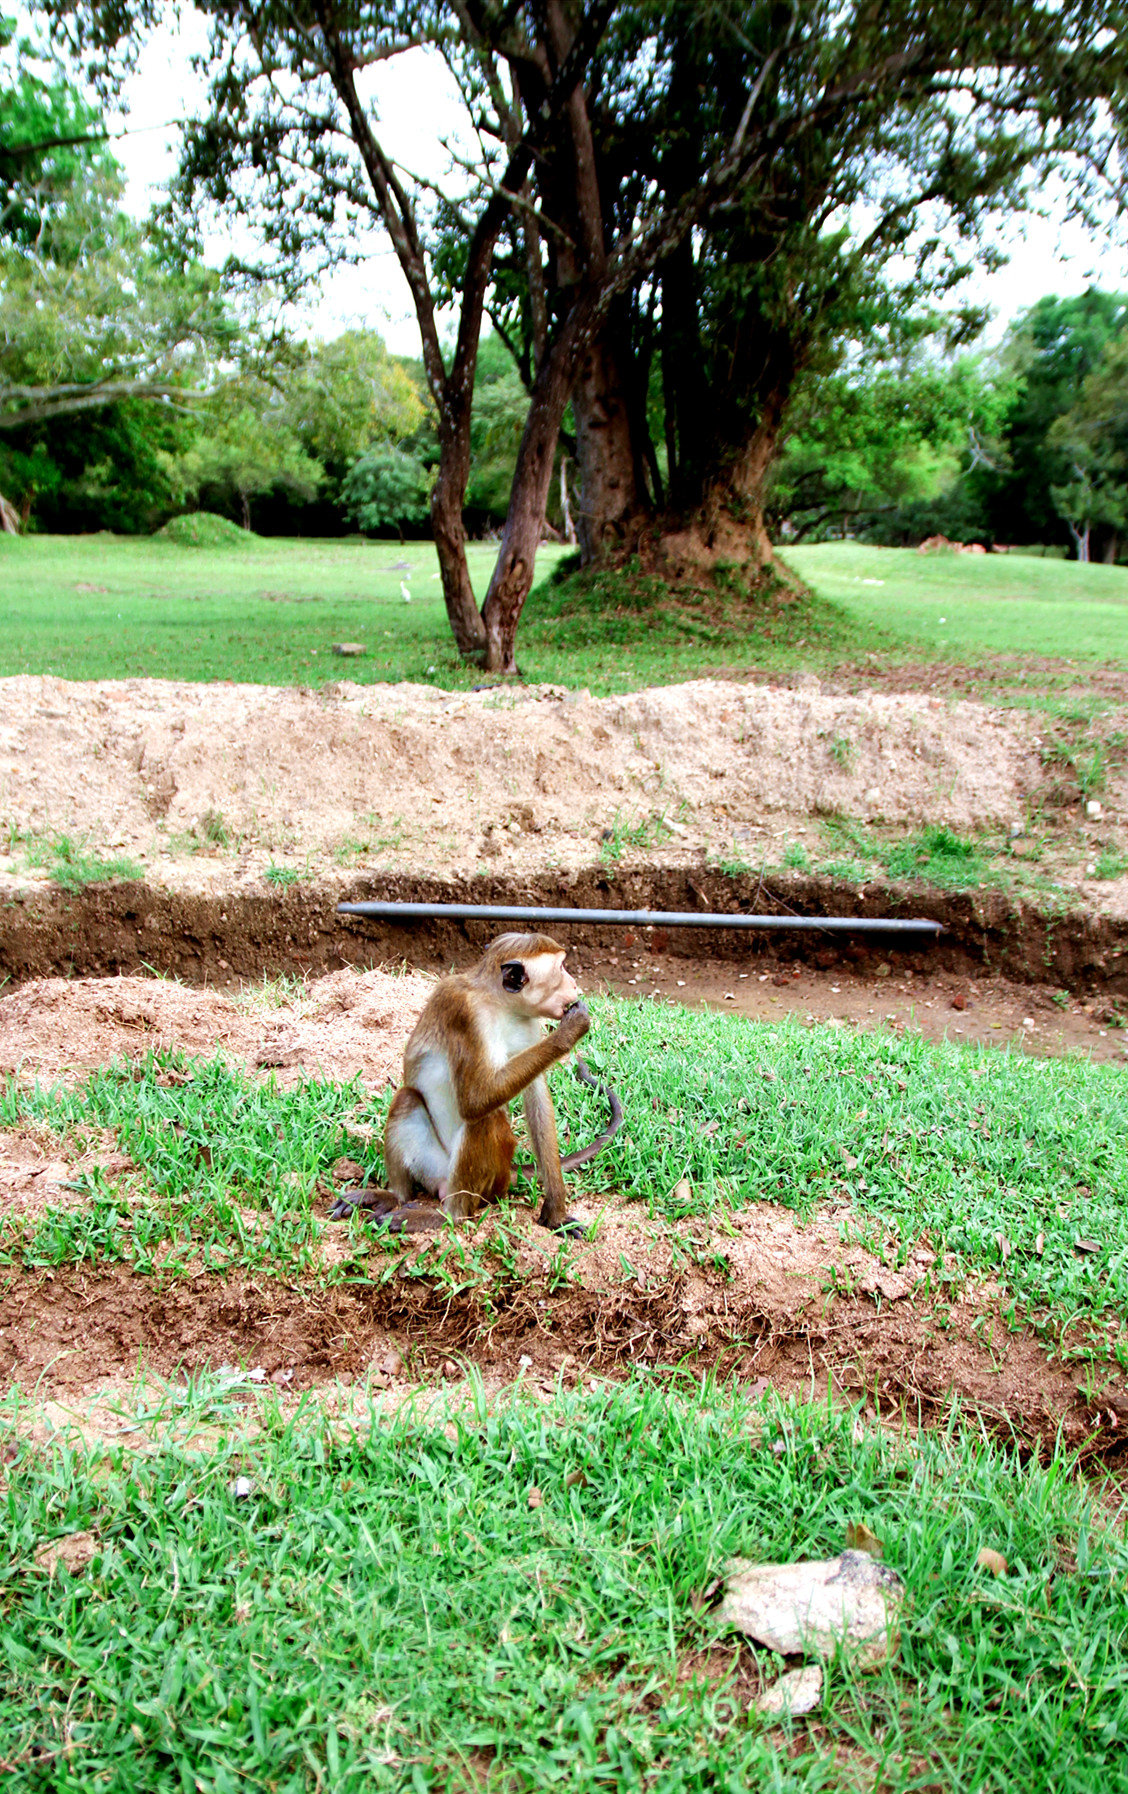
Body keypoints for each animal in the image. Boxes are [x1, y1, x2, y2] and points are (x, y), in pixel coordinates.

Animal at [329, 940, 598, 1234]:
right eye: (561, 968)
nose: (574, 983)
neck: (501, 1005)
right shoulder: (465, 1013)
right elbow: (475, 1100)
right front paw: (569, 1033)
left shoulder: (528, 1025)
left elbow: (535, 1096)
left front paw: (556, 1213)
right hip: (435, 1166)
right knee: (426, 1103)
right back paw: (413, 1203)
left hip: (489, 1181)